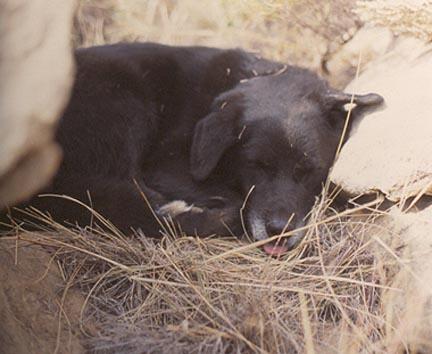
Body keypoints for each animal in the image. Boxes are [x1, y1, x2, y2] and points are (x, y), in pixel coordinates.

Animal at [2, 43, 382, 254]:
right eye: (256, 166)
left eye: (309, 170)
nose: (279, 231)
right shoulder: (166, 165)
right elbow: (231, 197)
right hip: (126, 102)